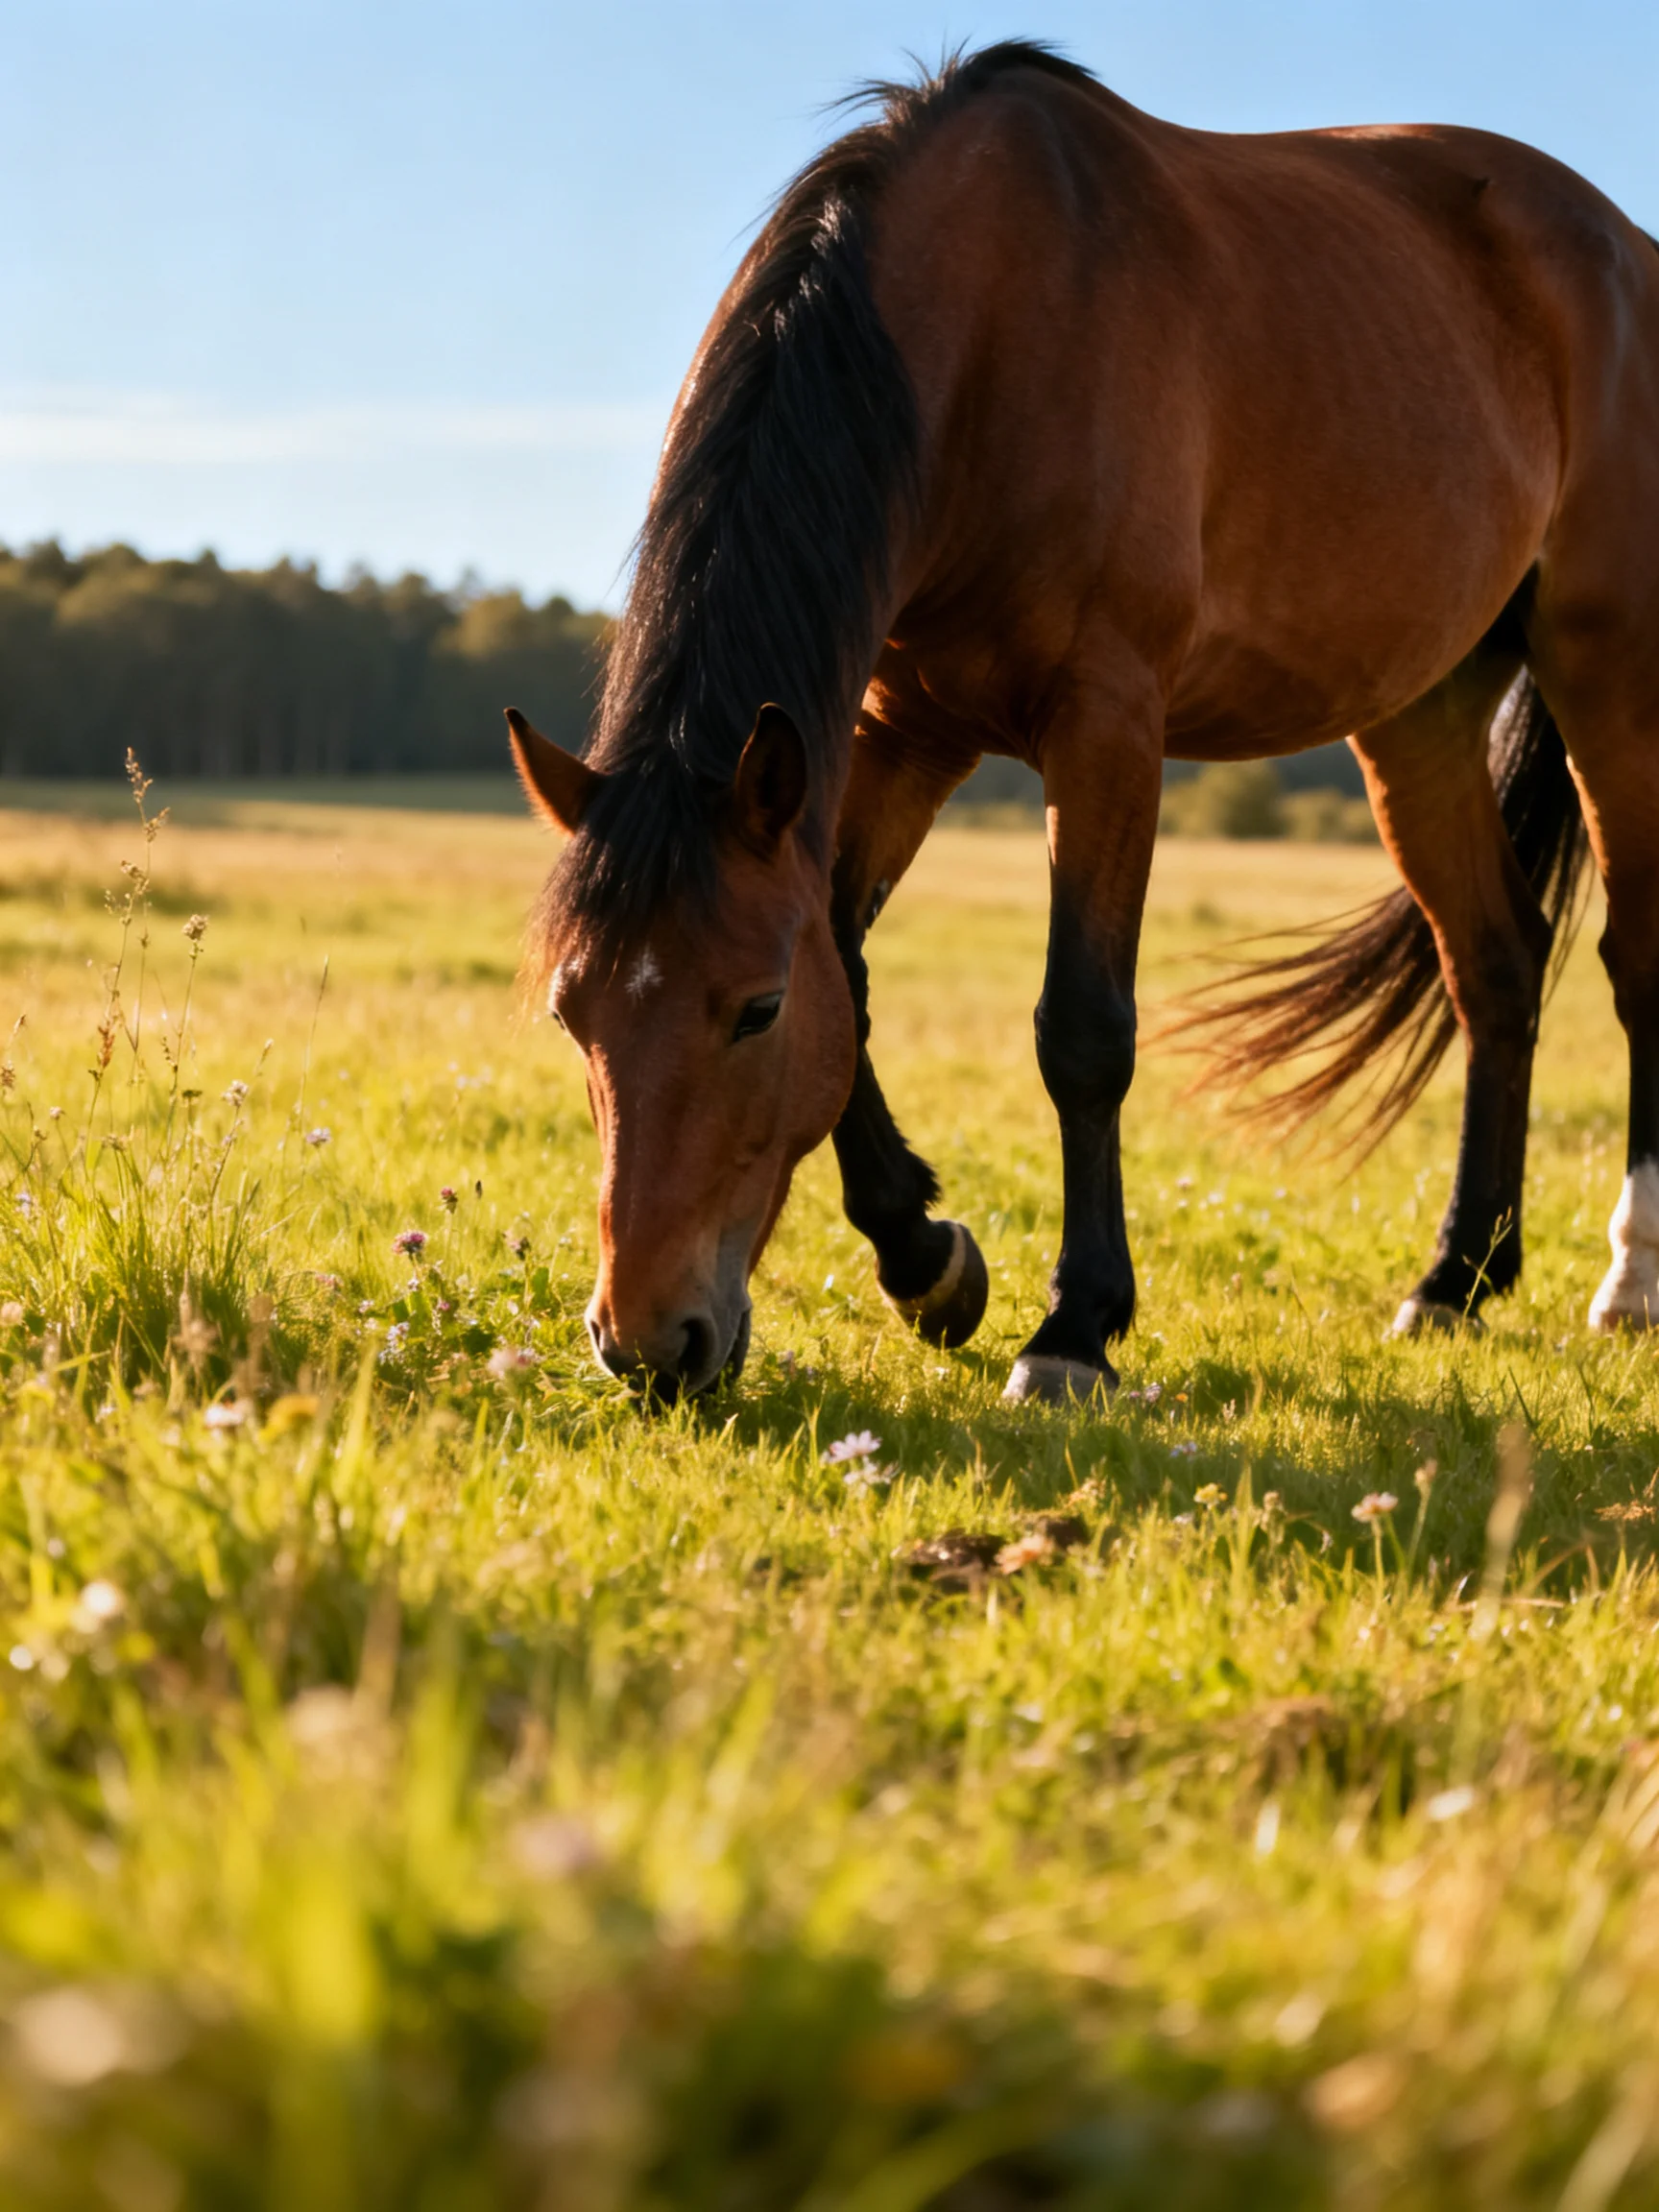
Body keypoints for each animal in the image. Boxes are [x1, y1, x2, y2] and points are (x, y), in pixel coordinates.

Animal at [508, 40, 1659, 1403]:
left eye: (755, 1011)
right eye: (572, 1013)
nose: (647, 1345)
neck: (987, 335)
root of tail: (1617, 245)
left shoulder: (1106, 724)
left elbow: (1083, 1031)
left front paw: (1075, 1327)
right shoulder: (899, 733)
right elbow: (849, 963)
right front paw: (927, 1260)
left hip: (1612, 673)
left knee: (1636, 962)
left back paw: (1631, 1279)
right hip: (1420, 714)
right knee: (1495, 963)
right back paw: (1455, 1279)